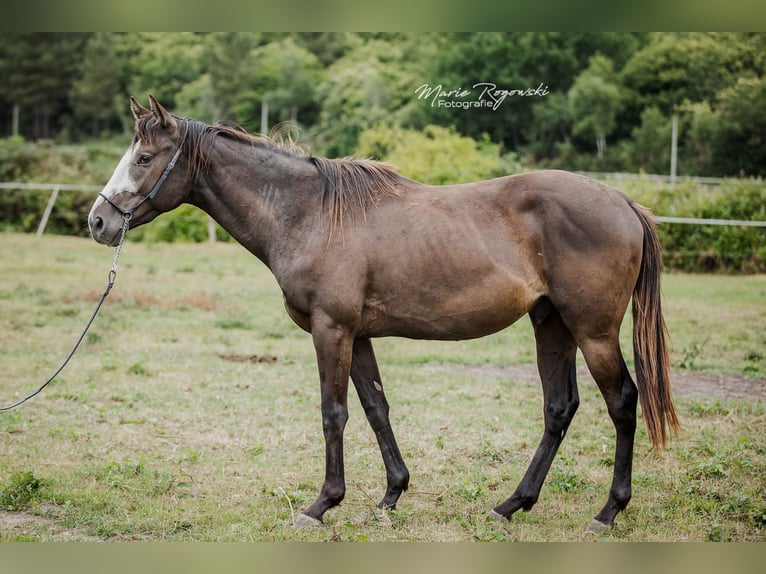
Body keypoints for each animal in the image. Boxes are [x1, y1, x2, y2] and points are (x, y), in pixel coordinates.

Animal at [88, 96, 680, 533]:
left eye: (144, 159)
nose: (97, 221)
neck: (310, 214)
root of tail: (624, 203)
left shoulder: (331, 330)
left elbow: (334, 413)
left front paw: (321, 504)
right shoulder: (358, 335)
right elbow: (376, 409)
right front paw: (392, 495)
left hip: (593, 332)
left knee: (622, 403)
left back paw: (608, 512)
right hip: (551, 323)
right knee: (559, 408)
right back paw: (512, 504)